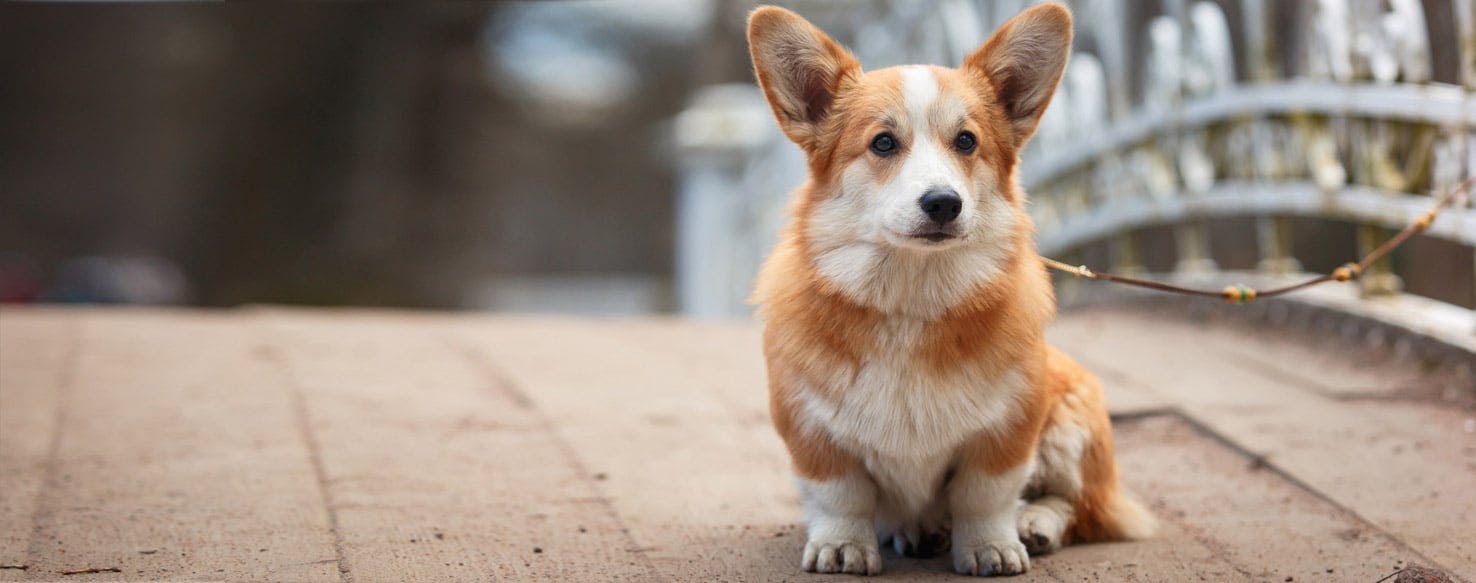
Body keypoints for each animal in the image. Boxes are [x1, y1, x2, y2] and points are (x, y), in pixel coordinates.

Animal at [749, 3, 1151, 578]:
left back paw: (1034, 523)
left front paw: (990, 547)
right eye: (883, 143)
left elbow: (983, 496)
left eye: (966, 141)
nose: (943, 203)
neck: (911, 299)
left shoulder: (1008, 429)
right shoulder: (811, 429)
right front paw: (843, 546)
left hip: (1074, 409)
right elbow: (841, 496)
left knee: (1079, 506)